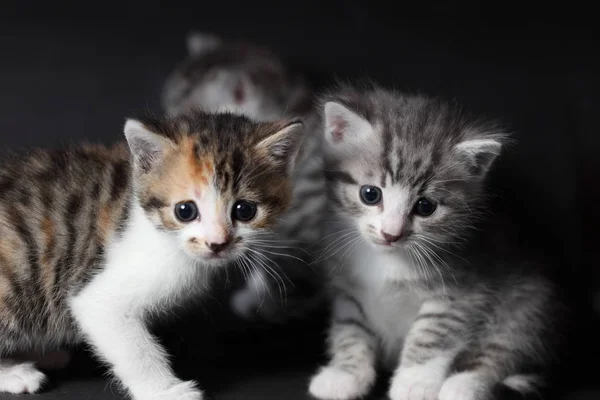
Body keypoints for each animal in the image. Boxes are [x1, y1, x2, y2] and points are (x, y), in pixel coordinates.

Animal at [0, 110, 304, 396]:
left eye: (245, 210)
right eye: (185, 211)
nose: (217, 243)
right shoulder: (97, 296)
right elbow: (133, 347)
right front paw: (166, 391)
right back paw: (16, 373)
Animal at [310, 82, 564, 400]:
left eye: (425, 207)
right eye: (370, 194)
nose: (391, 233)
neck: (387, 261)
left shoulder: (462, 288)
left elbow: (433, 333)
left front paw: (414, 382)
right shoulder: (346, 288)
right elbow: (350, 328)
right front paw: (346, 373)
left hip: (527, 307)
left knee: (501, 350)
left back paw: (463, 387)